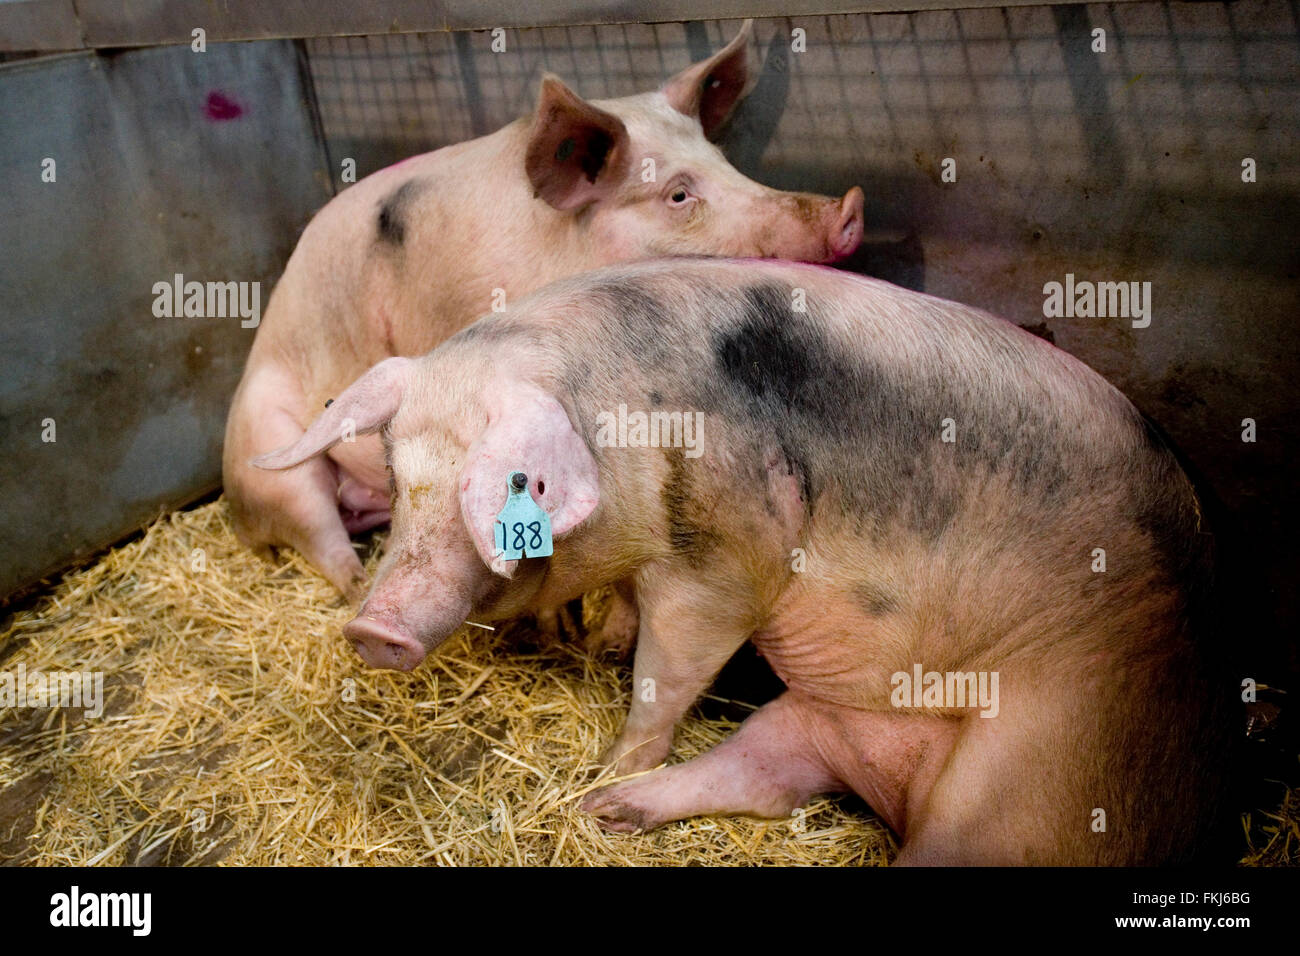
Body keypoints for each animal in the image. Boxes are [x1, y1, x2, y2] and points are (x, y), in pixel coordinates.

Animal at [222, 19, 865, 630]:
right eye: (678, 195)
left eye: (728, 164)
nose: (849, 208)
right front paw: (560, 625)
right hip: (269, 453)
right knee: (320, 535)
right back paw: (356, 585)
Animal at [251, 257, 1232, 865]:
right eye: (398, 472)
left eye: (511, 487)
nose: (373, 630)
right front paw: (599, 659)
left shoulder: (727, 556)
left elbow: (672, 669)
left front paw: (612, 750)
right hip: (817, 721)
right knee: (760, 777)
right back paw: (603, 814)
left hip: (1029, 779)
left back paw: (601, 794)